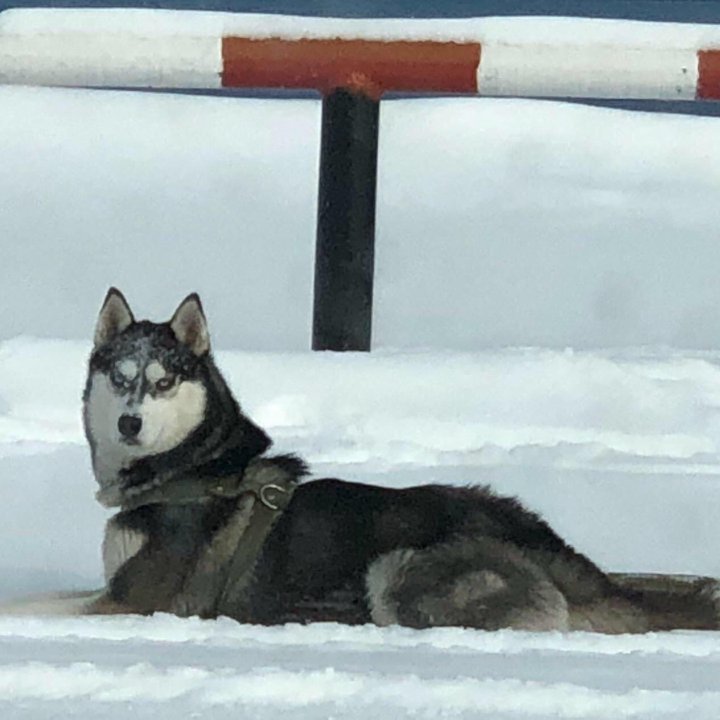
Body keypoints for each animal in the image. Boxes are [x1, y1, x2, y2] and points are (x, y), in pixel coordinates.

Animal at [76, 290, 716, 632]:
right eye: (121, 377)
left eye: (164, 382)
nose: (130, 423)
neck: (188, 471)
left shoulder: (137, 602)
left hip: (394, 568)